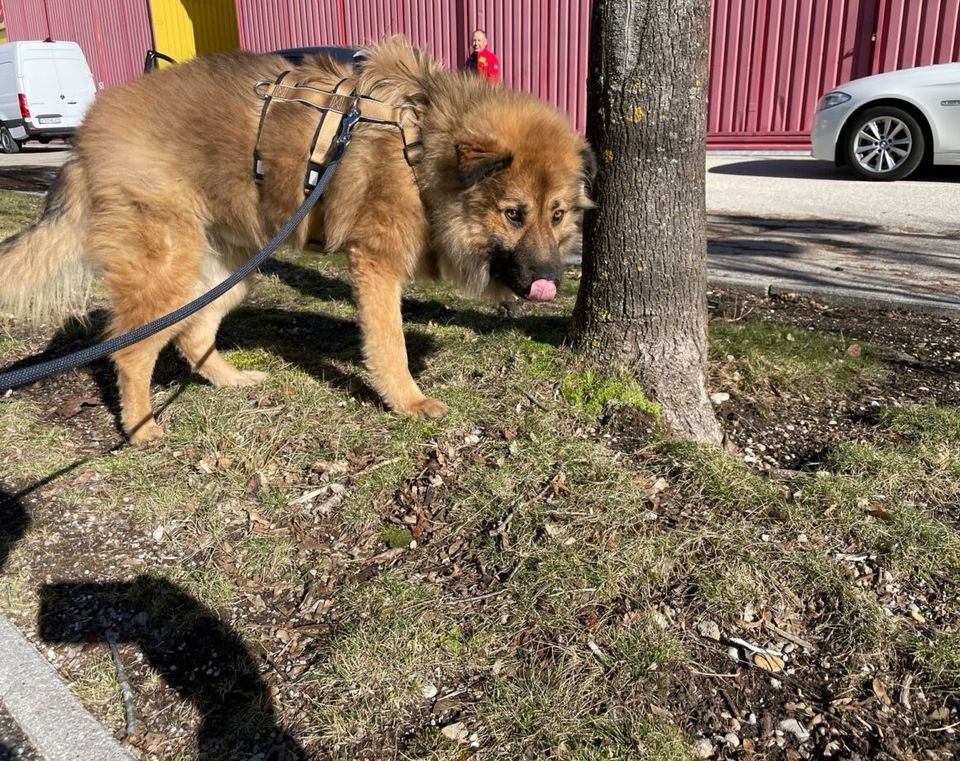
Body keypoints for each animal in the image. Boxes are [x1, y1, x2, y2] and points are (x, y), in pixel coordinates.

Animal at [0, 38, 592, 442]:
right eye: (513, 215)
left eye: (557, 215)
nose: (549, 283)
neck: (423, 143)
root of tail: (84, 137)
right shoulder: (375, 265)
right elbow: (390, 345)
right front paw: (407, 401)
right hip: (167, 272)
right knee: (130, 350)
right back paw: (142, 427)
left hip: (229, 275)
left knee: (193, 334)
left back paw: (231, 381)